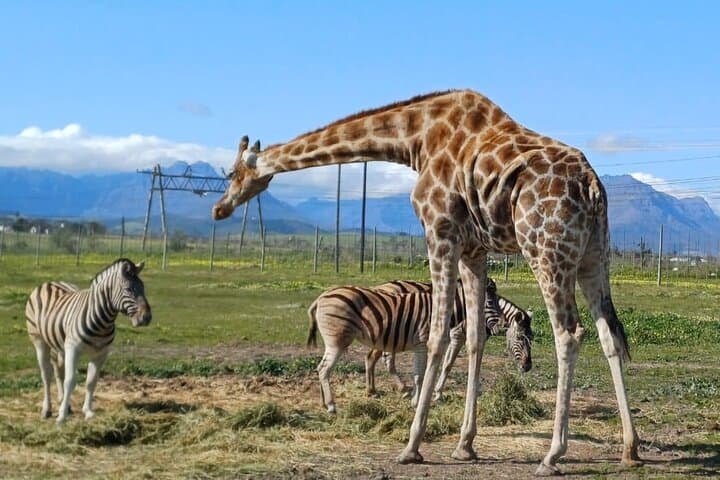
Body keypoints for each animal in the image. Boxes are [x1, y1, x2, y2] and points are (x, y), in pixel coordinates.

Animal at [212, 89, 641, 475]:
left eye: (232, 173)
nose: (219, 209)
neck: (414, 139)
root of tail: (592, 185)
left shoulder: (440, 232)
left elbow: (436, 336)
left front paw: (412, 445)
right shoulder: (473, 250)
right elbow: (474, 338)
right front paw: (465, 445)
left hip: (545, 251)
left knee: (569, 333)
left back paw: (552, 455)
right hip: (593, 256)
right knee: (609, 335)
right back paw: (630, 448)